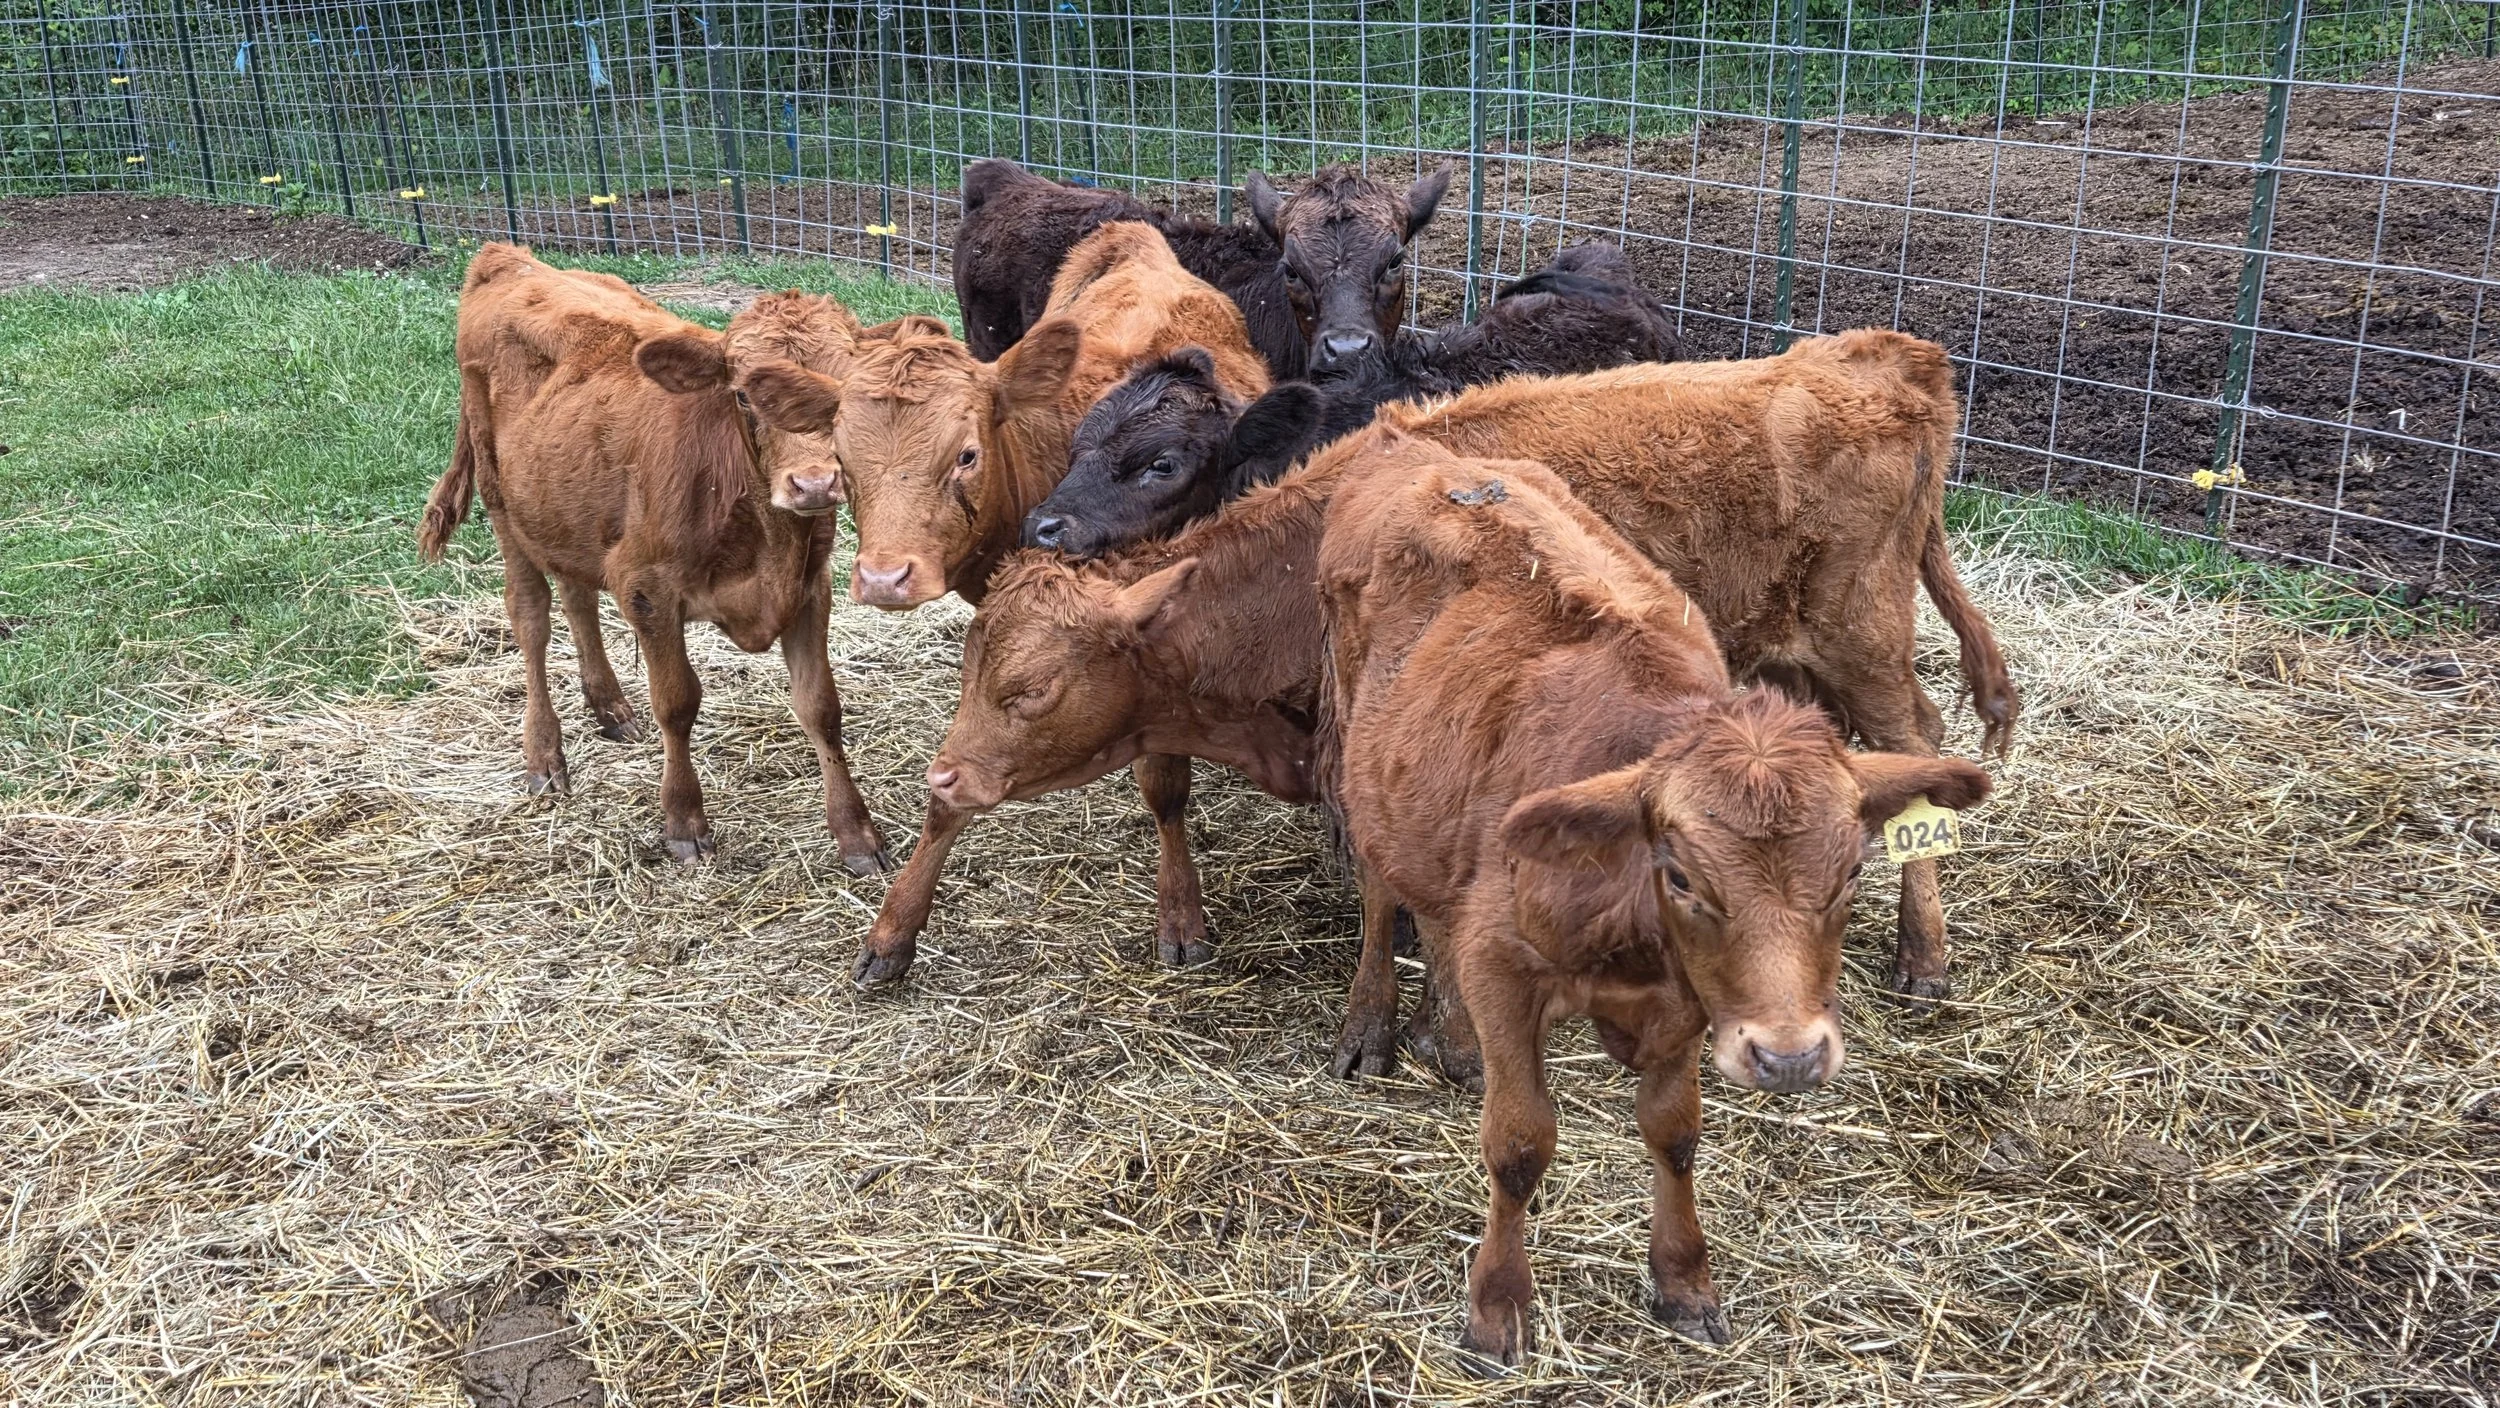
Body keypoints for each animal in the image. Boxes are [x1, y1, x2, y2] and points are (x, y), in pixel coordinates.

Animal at [415, 243, 890, 874]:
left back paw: (610, 706)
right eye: (743, 394)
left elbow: (820, 707)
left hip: (569, 510)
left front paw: (856, 834)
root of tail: (511, 258)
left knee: (577, 598)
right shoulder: (647, 588)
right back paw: (544, 754)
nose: (814, 484)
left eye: (845, 397)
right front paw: (684, 822)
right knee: (531, 617)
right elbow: (677, 703)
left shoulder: (811, 587)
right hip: (503, 504)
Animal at [1018, 332, 2017, 1003]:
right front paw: (1182, 923)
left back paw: (1922, 955)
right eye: (1077, 445)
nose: (1043, 528)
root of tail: (1880, 355)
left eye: (1159, 462)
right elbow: (1168, 784)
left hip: (1861, 633)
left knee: (1917, 738)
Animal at [1314, 430, 1992, 1366]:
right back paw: (1371, 1026)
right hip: (1366, 759)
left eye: (1853, 872)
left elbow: (1675, 1133)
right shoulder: (1502, 964)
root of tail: (1411, 444)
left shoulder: (1696, 1003)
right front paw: (1496, 1309)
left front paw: (1683, 1283)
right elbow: (1519, 1142)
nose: (1790, 1059)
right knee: (1384, 894)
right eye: (1679, 875)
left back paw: (1446, 1037)